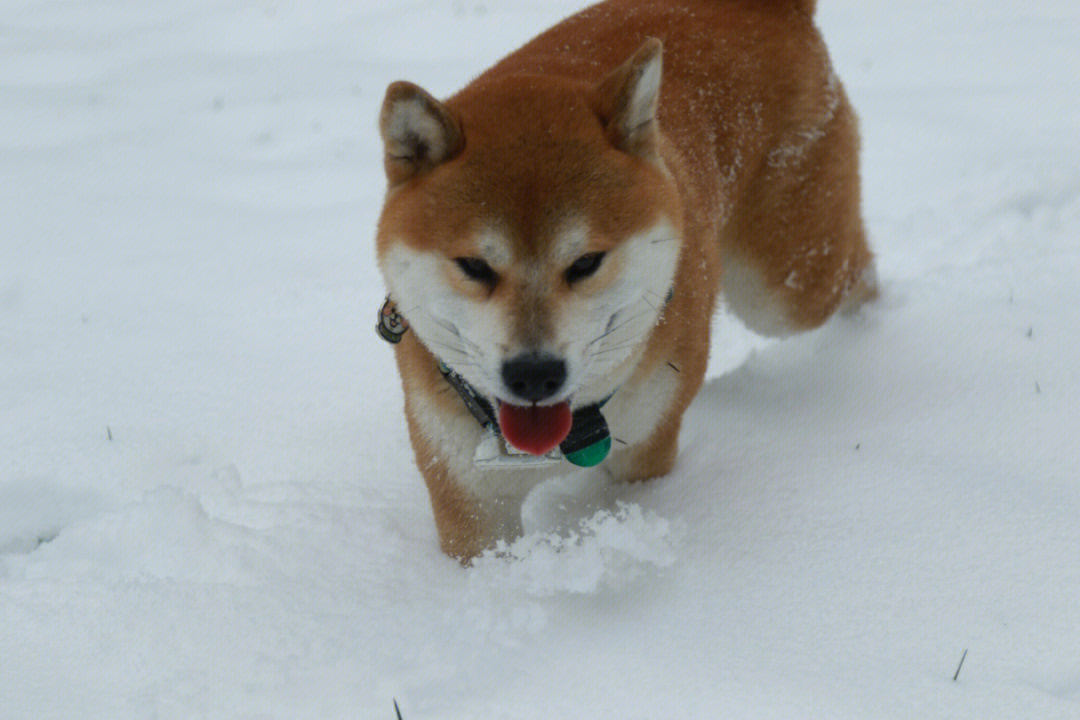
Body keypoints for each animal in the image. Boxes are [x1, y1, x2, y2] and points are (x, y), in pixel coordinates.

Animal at [375, 0, 872, 561]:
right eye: (475, 266)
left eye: (586, 262)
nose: (534, 374)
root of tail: (769, 9)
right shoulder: (469, 496)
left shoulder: (646, 452)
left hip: (783, 288)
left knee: (853, 273)